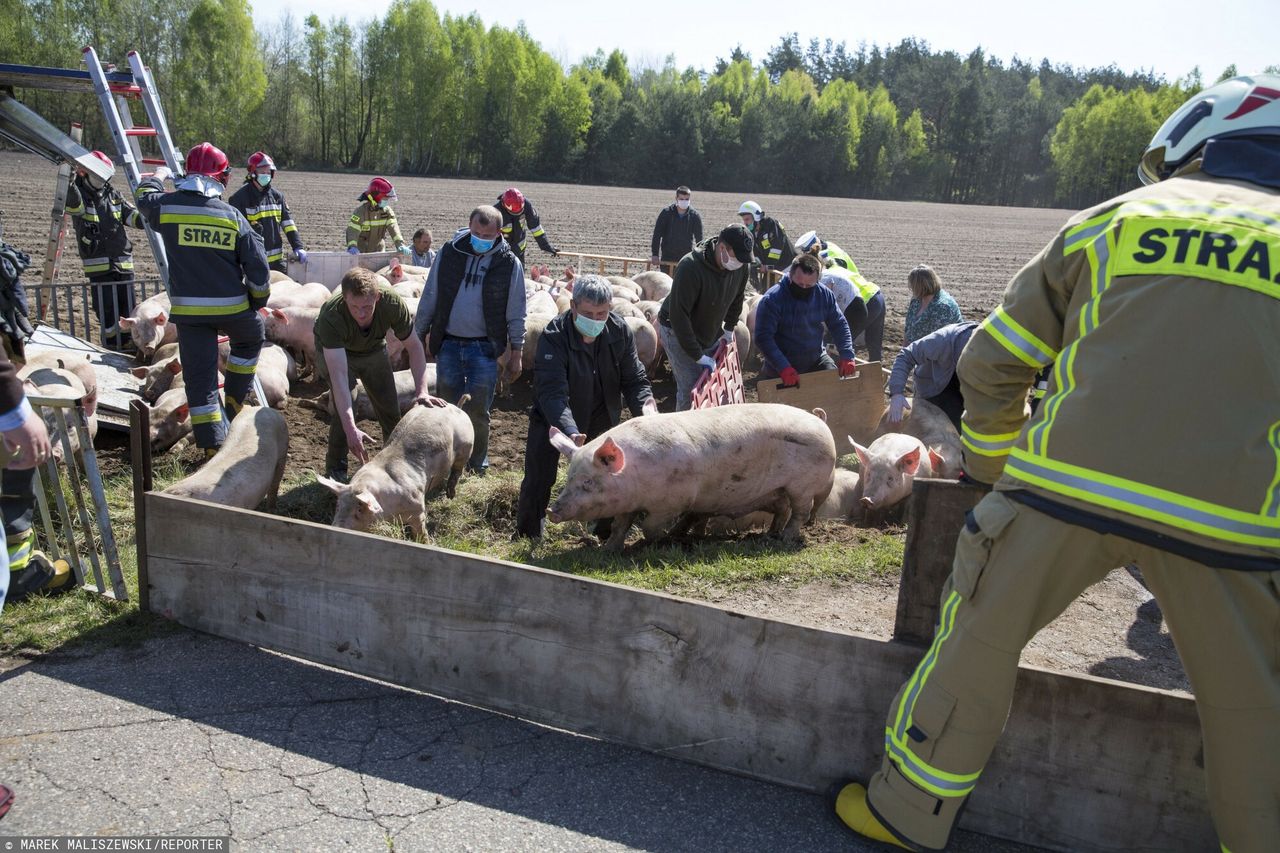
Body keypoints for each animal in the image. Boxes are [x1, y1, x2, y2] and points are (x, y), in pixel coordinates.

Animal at [314, 399, 476, 537]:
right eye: (338, 506)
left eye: (359, 509)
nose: (336, 528)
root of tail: (456, 407)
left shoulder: (418, 509)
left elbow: (421, 531)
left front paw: (426, 541)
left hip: (466, 447)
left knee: (457, 471)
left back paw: (451, 495)